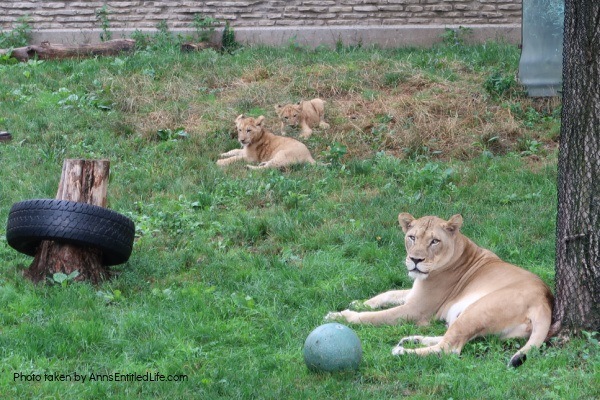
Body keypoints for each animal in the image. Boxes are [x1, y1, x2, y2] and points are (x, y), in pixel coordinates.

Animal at [328, 214, 552, 368]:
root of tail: (545, 301)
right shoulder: (414, 294)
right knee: (449, 337)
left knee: (449, 348)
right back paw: (411, 339)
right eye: (411, 237)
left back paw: (402, 351)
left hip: (477, 310)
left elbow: (373, 317)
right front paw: (359, 303)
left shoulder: (416, 310)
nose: (415, 260)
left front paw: (340, 316)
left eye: (434, 241)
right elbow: (387, 294)